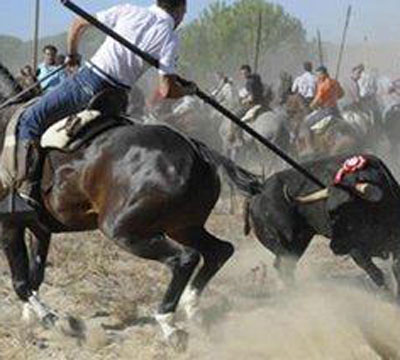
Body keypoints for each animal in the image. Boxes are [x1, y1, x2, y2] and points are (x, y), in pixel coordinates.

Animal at [0, 63, 233, 350]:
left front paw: (57, 321)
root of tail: (195, 150)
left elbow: (21, 284)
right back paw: (193, 310)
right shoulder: (39, 228)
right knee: (219, 251)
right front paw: (31, 317)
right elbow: (35, 277)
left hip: (123, 230)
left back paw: (169, 323)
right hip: (183, 225)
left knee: (185, 259)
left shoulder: (10, 224)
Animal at [216, 152, 400, 298]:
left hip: (299, 242)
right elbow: (376, 273)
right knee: (284, 266)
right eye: (329, 212)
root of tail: (257, 192)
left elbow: (395, 268)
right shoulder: (356, 250)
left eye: (349, 208)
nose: (334, 247)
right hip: (281, 242)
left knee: (285, 267)